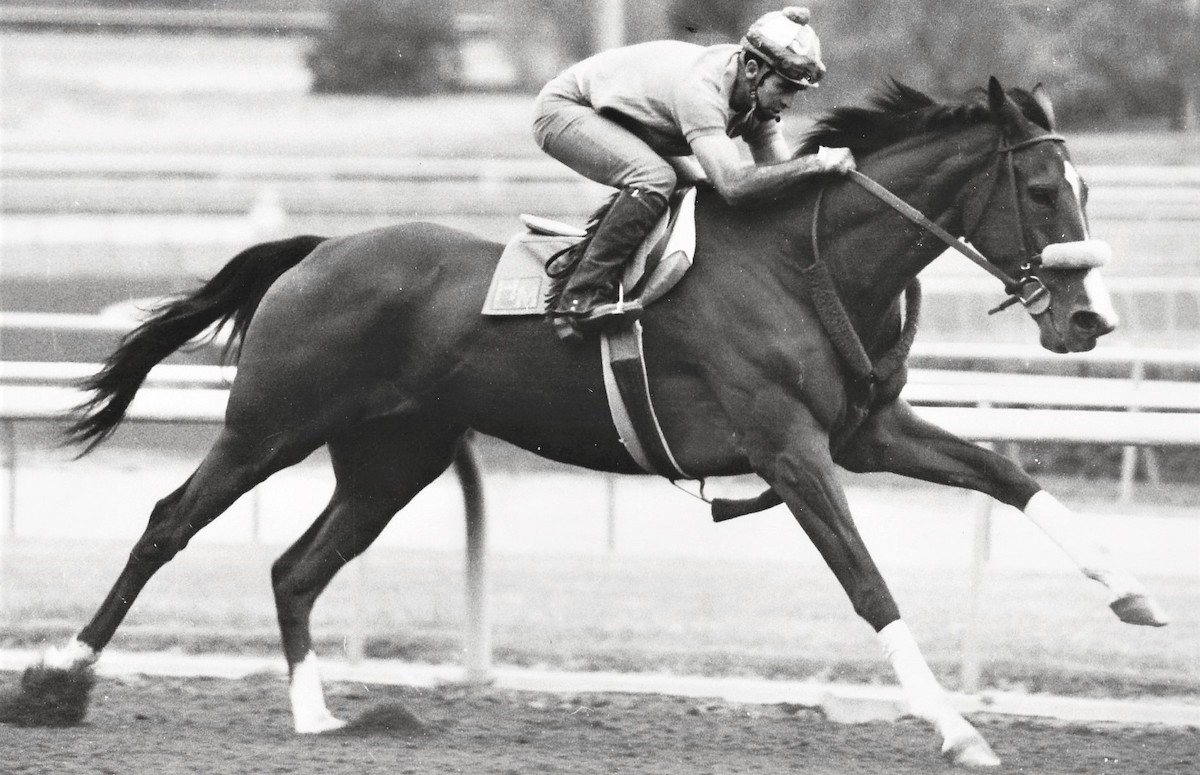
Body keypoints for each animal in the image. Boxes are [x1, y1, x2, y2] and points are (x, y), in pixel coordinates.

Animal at [9, 75, 1166, 767]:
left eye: (1087, 186)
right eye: (1040, 188)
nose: (1090, 318)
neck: (809, 262)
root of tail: (319, 249)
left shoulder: (863, 433)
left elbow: (1009, 474)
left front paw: (1134, 592)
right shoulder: (790, 448)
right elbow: (867, 578)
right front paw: (957, 726)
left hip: (393, 457)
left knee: (296, 567)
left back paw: (314, 713)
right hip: (269, 427)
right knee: (169, 522)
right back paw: (61, 676)